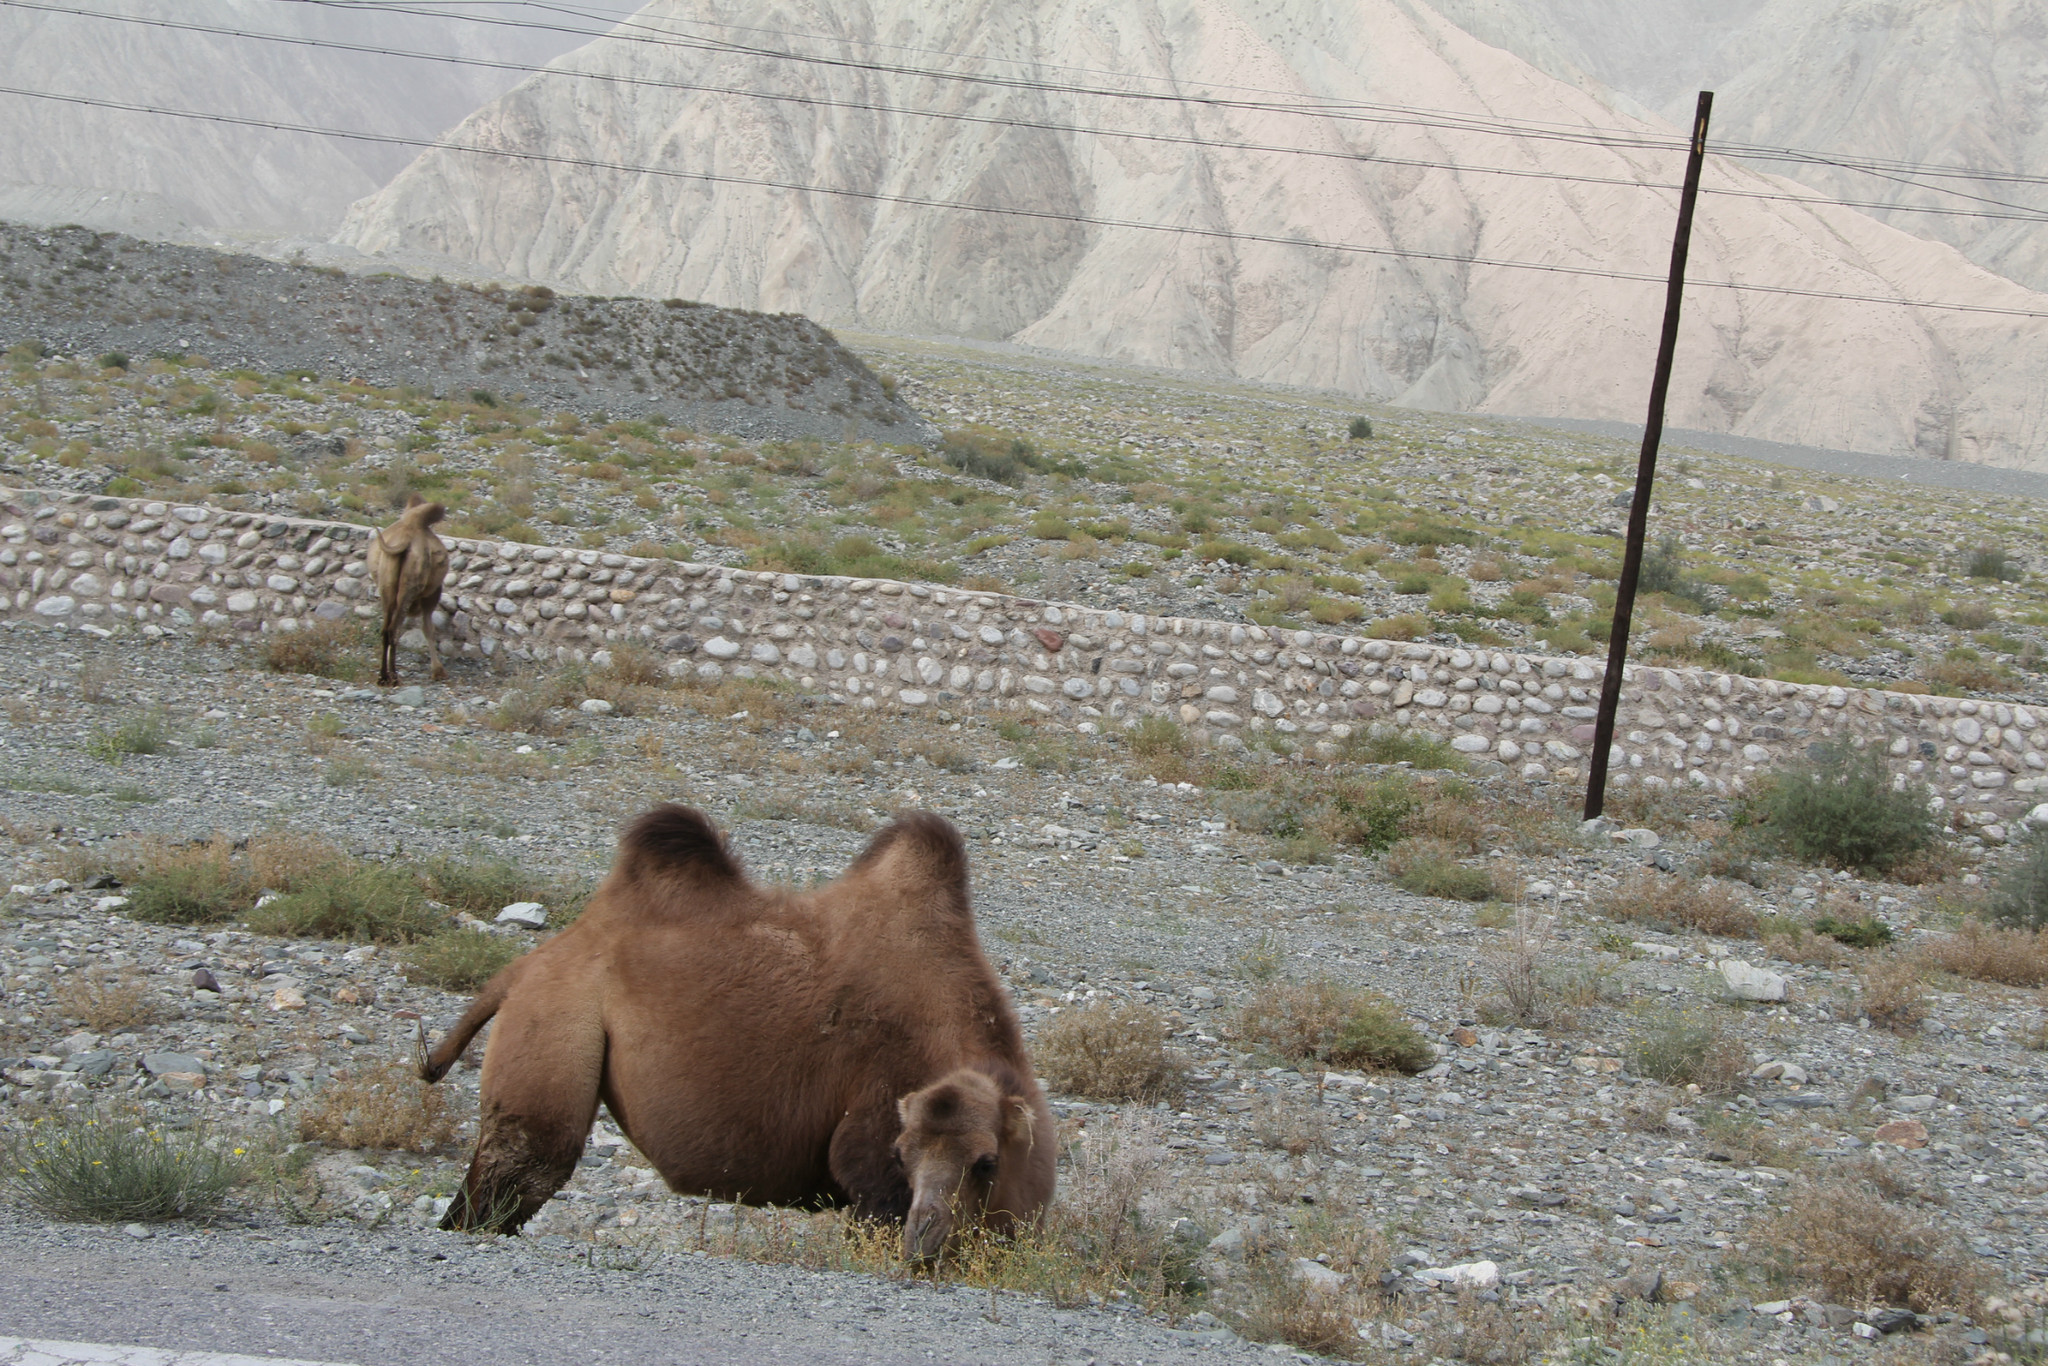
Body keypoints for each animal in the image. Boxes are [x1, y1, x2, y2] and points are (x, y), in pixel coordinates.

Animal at [370, 493, 450, 688]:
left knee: (386, 628)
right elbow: (428, 628)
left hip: (387, 584)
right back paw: (394, 677)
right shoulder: (432, 594)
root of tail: (404, 541)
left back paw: (383, 677)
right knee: (394, 628)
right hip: (411, 585)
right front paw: (438, 671)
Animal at [417, 802, 1056, 1261]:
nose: (927, 1236)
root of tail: (524, 967)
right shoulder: (874, 1137)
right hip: (556, 1018)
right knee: (521, 1168)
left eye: (986, 1163)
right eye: (902, 1153)